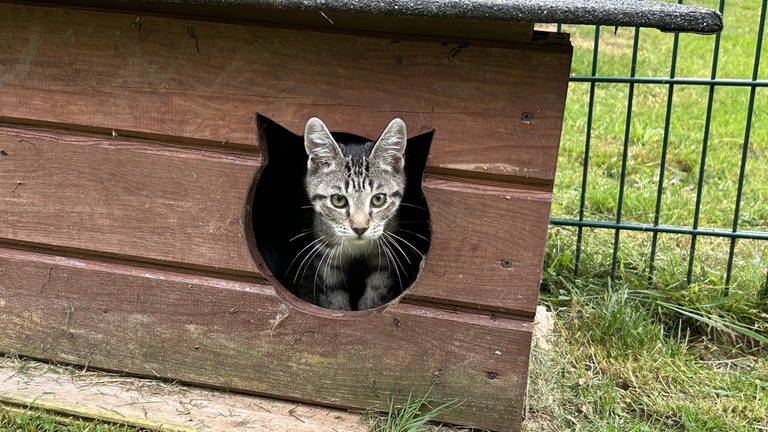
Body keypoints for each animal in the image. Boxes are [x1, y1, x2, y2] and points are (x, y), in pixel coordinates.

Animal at [294, 116, 412, 308]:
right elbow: (333, 296)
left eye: (378, 199)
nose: (359, 228)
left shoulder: (384, 255)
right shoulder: (326, 258)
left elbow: (378, 289)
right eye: (338, 200)